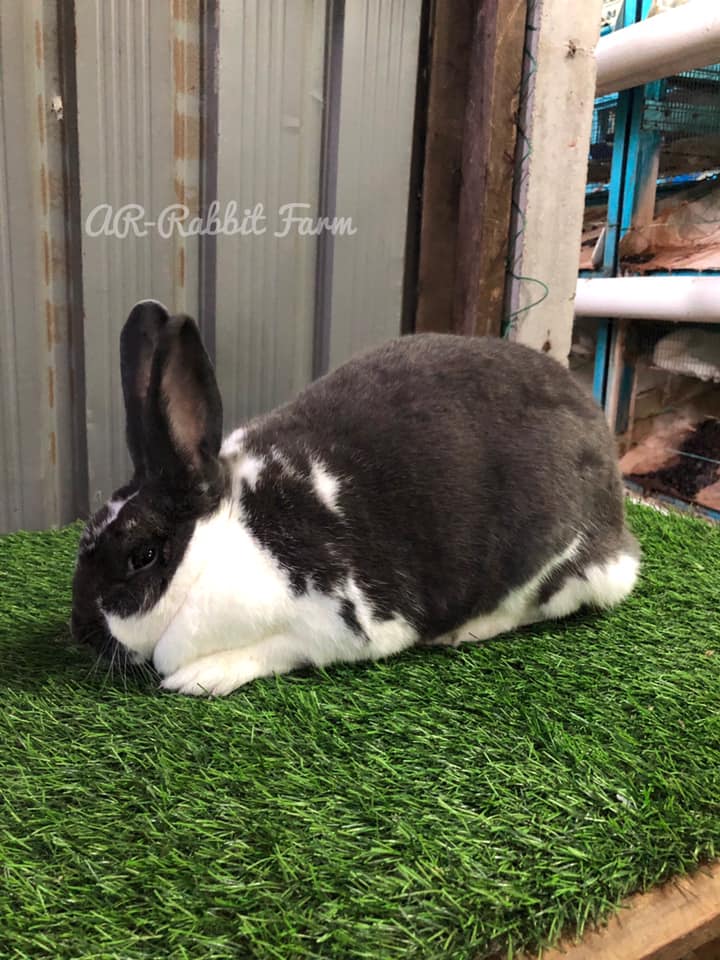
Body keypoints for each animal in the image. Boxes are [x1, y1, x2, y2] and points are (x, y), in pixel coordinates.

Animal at [71, 300, 640, 697]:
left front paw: (202, 676)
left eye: (143, 554)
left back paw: (467, 630)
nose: (82, 632)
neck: (222, 544)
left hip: (564, 567)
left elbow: (273, 650)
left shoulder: (334, 624)